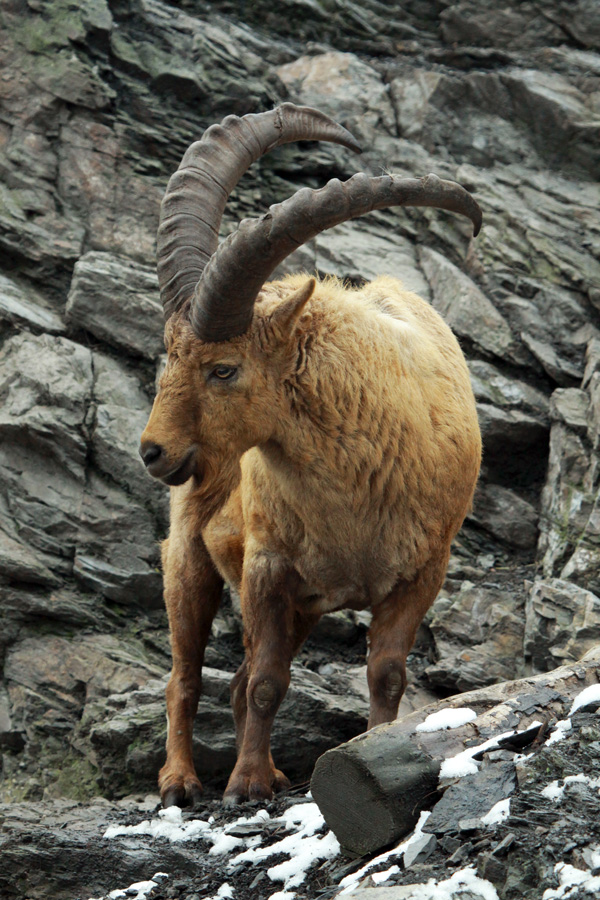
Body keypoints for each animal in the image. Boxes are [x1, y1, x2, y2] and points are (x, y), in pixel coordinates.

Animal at [140, 104, 482, 807]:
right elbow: (268, 683)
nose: (154, 452)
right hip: (191, 557)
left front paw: (373, 748)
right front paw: (243, 785)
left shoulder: (420, 573)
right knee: (187, 676)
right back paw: (182, 782)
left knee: (233, 680)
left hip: (300, 606)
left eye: (223, 368)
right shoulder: (269, 568)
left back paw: (267, 771)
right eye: (169, 357)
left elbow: (385, 675)